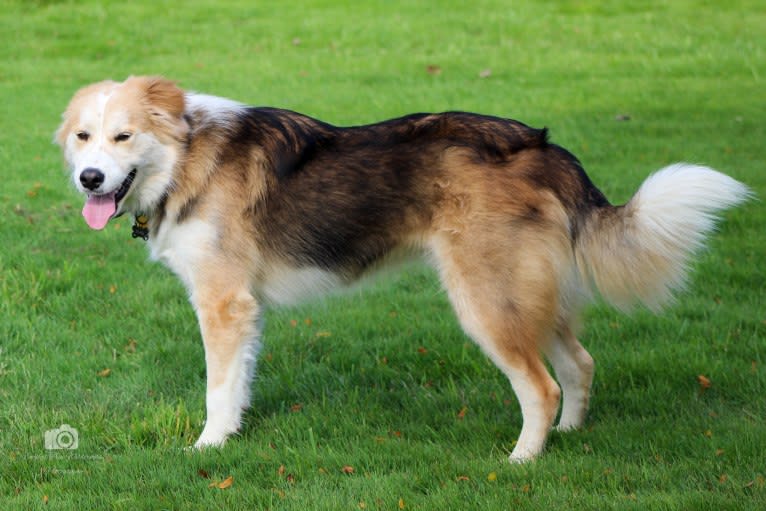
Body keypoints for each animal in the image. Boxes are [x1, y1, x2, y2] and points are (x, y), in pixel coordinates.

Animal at [57, 77, 752, 464]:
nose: (89, 179)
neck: (187, 156)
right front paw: (230, 438)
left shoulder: (224, 304)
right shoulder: (244, 309)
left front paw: (208, 448)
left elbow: (217, 388)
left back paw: (523, 460)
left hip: (486, 301)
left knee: (542, 386)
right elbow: (239, 384)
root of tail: (541, 146)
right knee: (579, 366)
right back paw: (570, 436)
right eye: (84, 137)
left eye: (123, 137)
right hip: (529, 293)